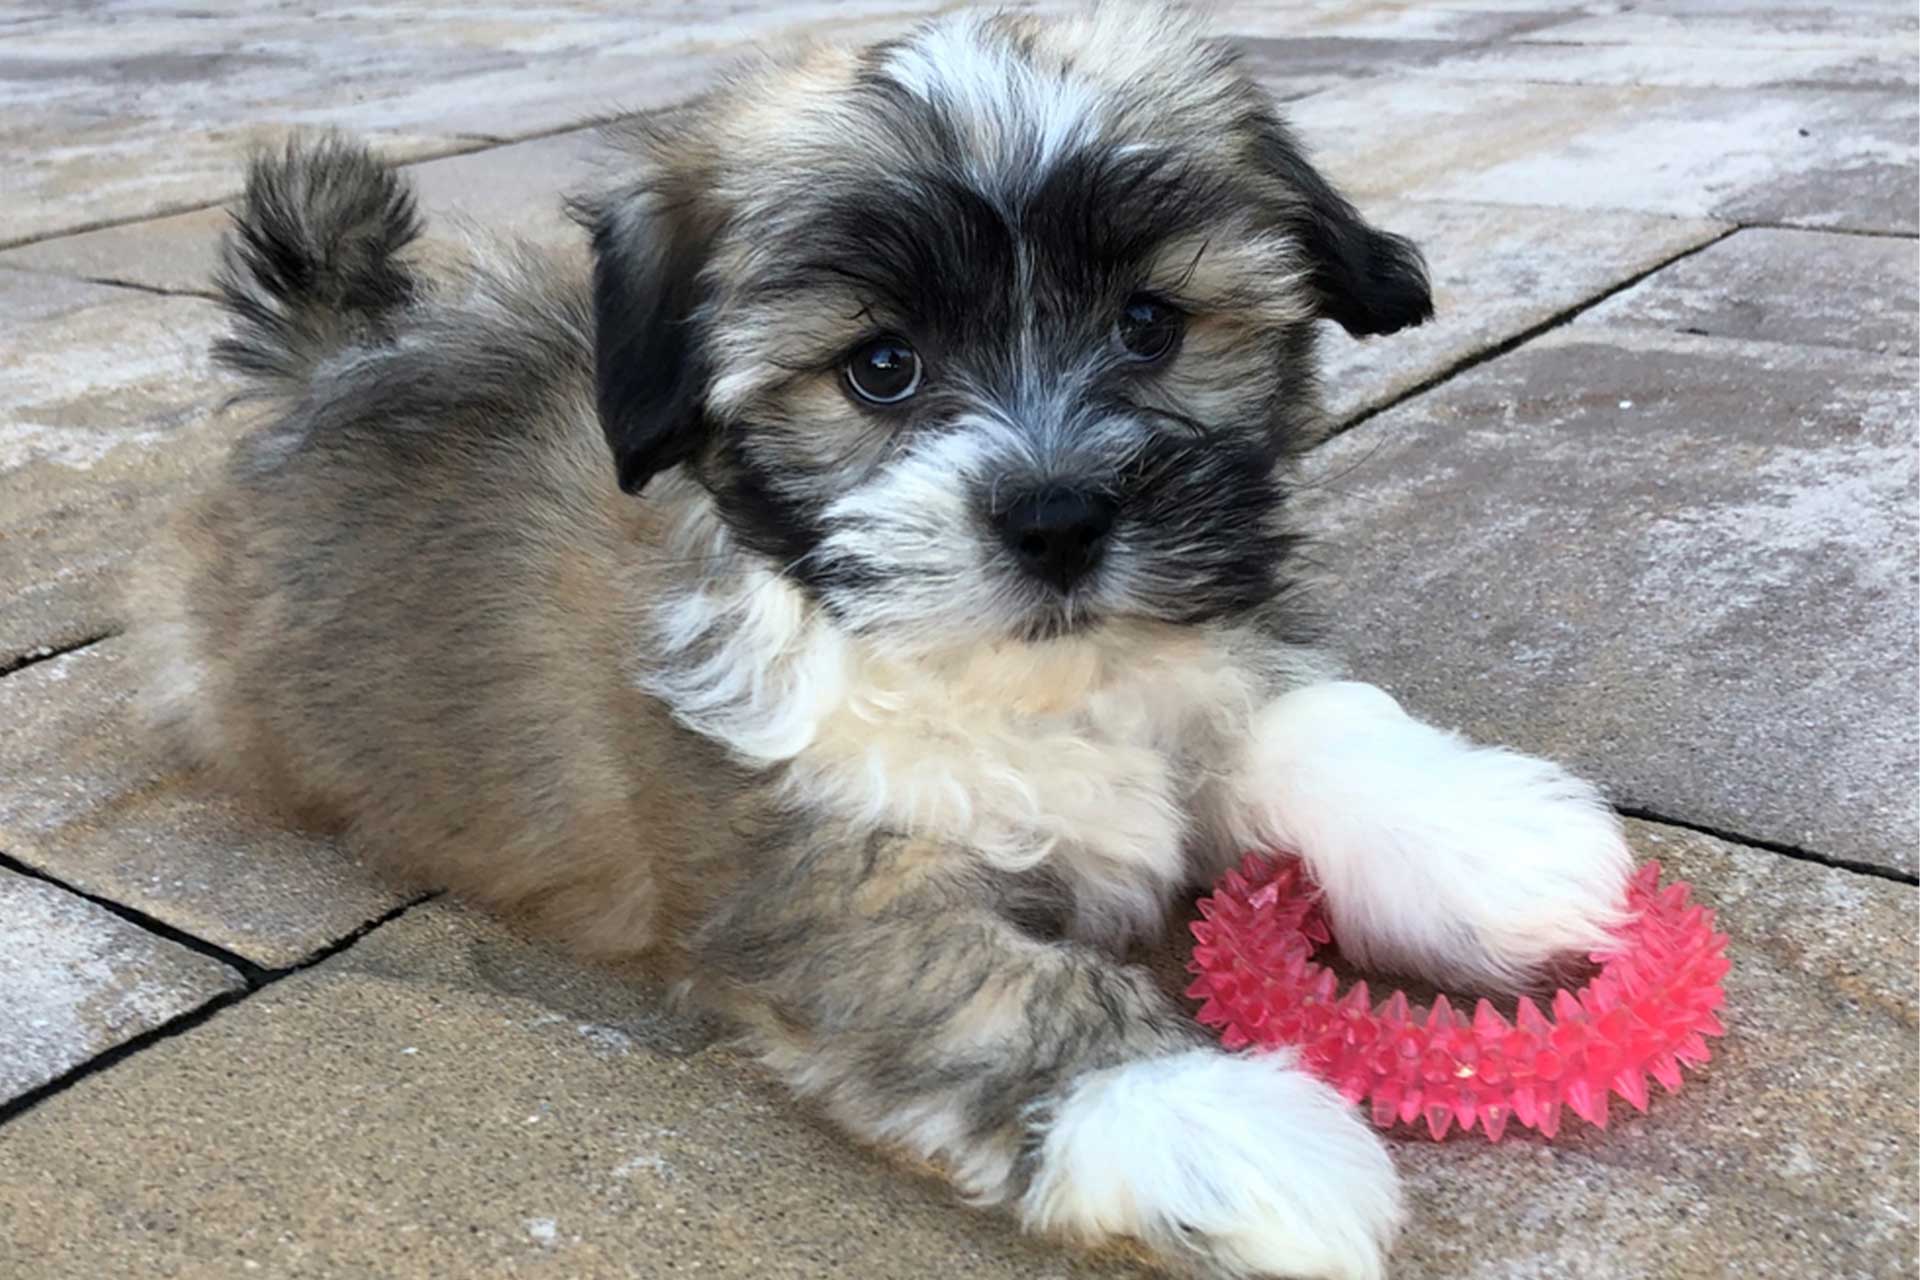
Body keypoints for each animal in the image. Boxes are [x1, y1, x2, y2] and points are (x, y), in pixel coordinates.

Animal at [131, 5, 1635, 1274]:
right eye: (880, 368)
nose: (1058, 516)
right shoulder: (810, 883)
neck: (1028, 675)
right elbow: (991, 989)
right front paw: (1204, 1116)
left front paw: (1485, 838)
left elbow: (1298, 714)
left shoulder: (1190, 646)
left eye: (1150, 324)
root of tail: (327, 366)